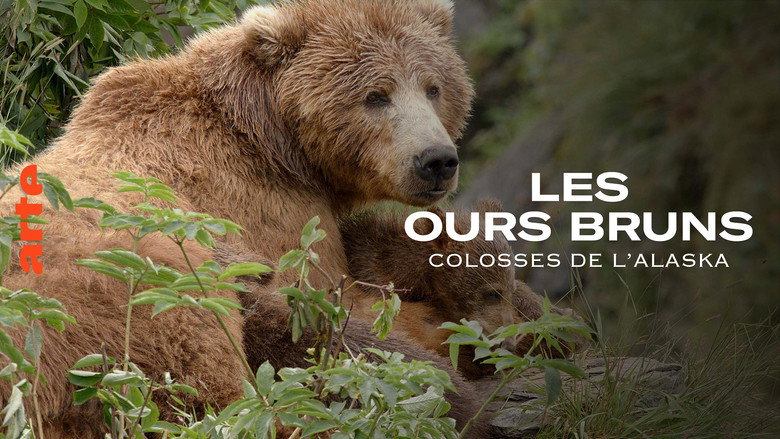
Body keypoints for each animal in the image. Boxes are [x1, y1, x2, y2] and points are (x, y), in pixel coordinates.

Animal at [0, 0, 478, 436]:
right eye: (376, 95)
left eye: (434, 87)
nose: (436, 160)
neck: (273, 139)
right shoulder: (274, 213)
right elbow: (343, 302)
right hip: (130, 283)